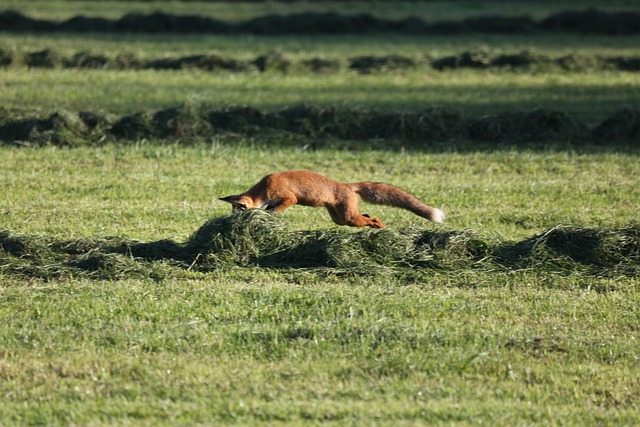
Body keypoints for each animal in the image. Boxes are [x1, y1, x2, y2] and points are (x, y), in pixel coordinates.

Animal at [220, 171, 444, 231]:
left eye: (238, 210)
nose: (230, 221)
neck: (264, 186)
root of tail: (347, 185)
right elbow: (270, 208)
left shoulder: (289, 197)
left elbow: (275, 208)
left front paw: (269, 216)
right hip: (342, 219)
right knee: (367, 215)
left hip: (348, 218)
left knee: (372, 218)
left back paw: (379, 227)